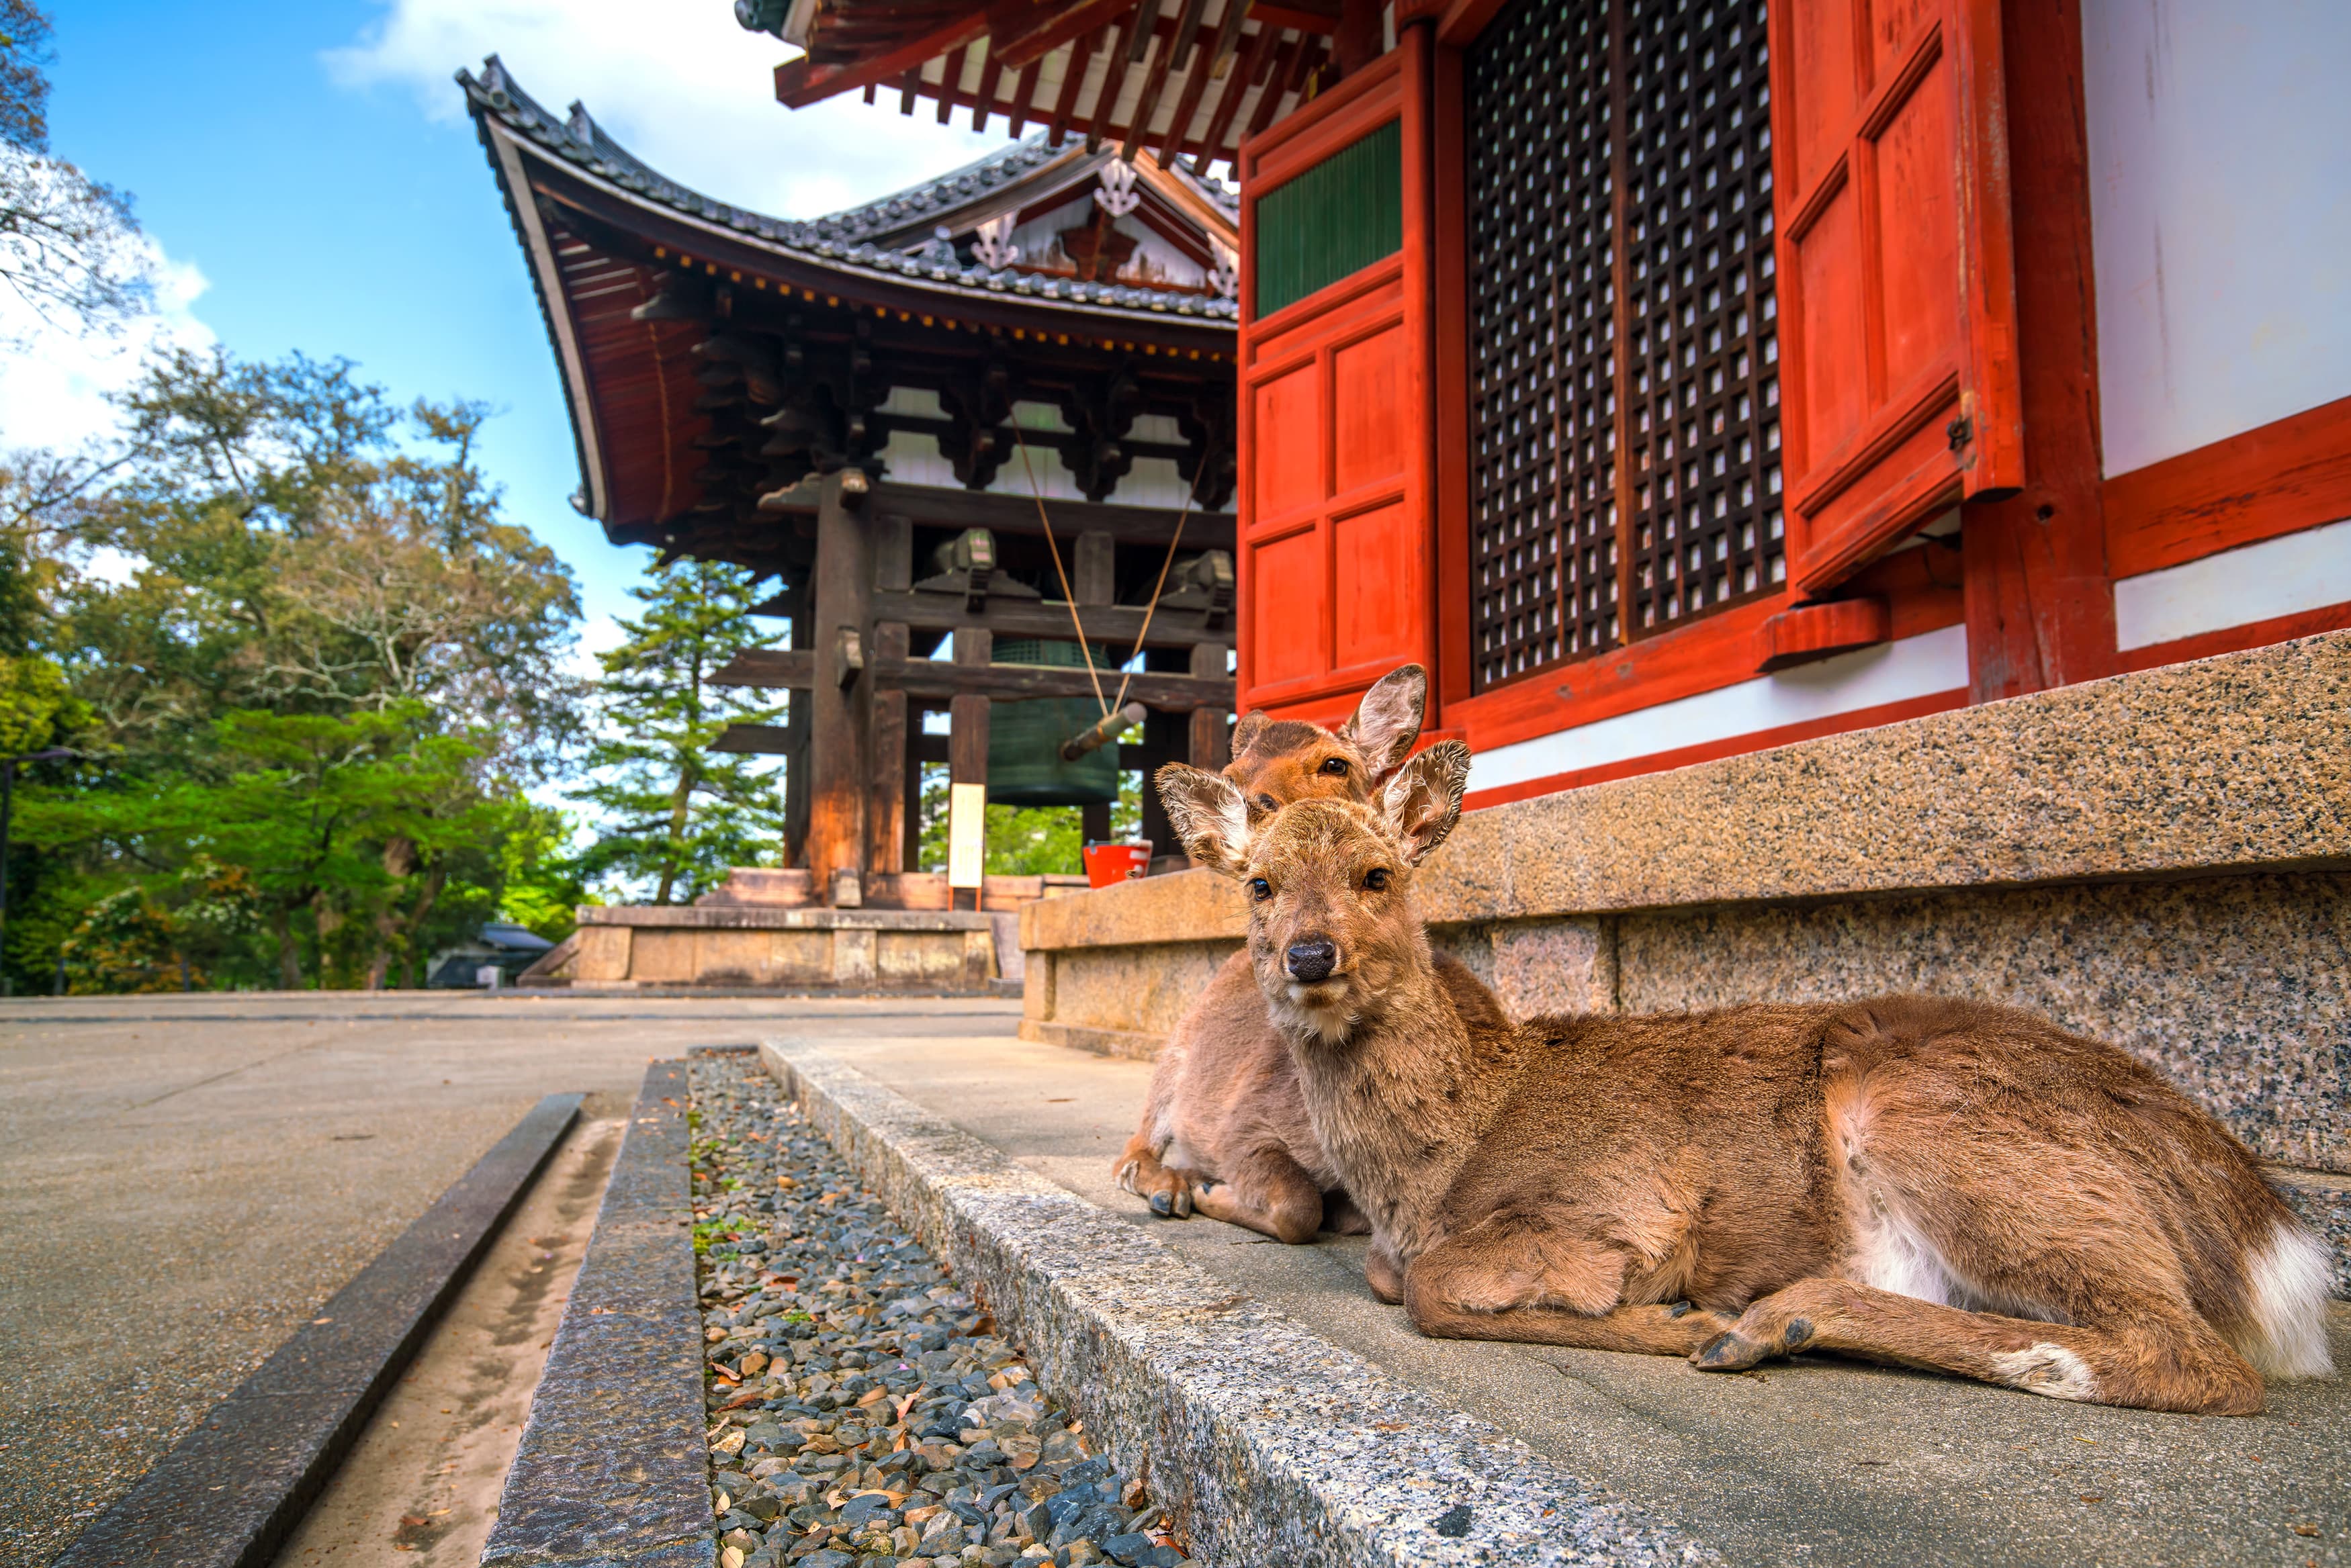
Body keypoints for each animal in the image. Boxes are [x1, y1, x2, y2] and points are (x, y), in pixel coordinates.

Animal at [1113, 663, 1505, 1245]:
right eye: (1261, 885)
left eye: (1334, 763)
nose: (1311, 954)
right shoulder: (1240, 1126)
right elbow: (1298, 1207)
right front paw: (1208, 1188)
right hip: (1173, 1058)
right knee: (1130, 1151)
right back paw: (1170, 1186)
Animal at [1151, 744, 2337, 1414]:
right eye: (1259, 884)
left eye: (1377, 873)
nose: (1310, 956)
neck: (1441, 1158)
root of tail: (2262, 1229)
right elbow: (1393, 1276)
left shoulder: (1621, 1201)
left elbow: (1434, 1291)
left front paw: (1666, 1320)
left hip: (1953, 1134)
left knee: (2192, 1357)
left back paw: (1768, 1319)